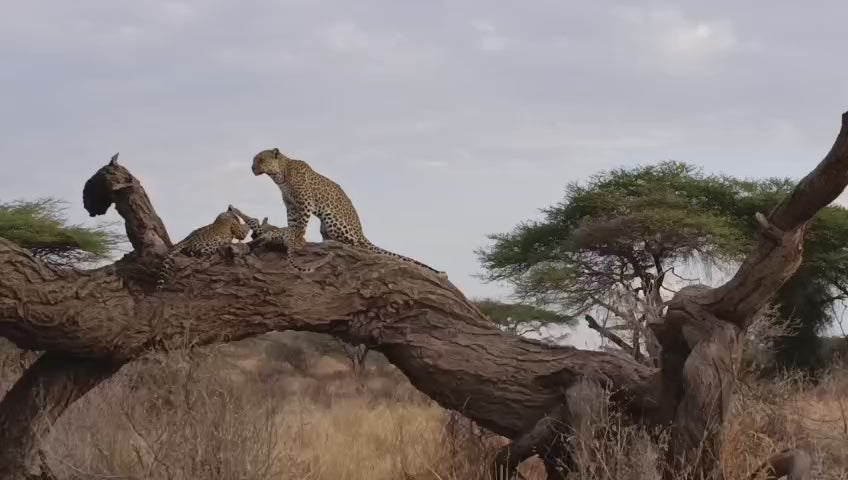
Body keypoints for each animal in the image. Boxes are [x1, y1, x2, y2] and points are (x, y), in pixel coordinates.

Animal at [250, 148, 447, 277]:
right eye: (254, 161)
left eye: (260, 160)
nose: (252, 168)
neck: (279, 176)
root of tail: (362, 233)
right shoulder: (291, 206)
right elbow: (292, 223)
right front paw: (288, 235)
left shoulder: (304, 203)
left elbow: (301, 225)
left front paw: (297, 239)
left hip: (332, 220)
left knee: (356, 244)